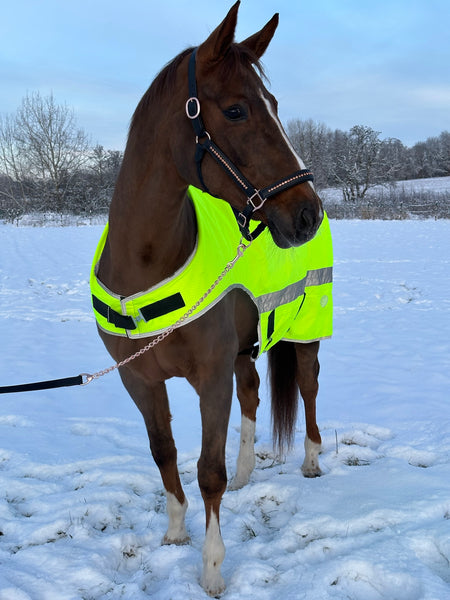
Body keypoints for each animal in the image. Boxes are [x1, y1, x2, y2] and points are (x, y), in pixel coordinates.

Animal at [93, 2, 328, 596]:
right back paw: (248, 474)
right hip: (247, 346)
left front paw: (213, 568)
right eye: (237, 109)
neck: (147, 265)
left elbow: (208, 471)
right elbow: (166, 452)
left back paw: (313, 460)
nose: (307, 214)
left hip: (305, 333)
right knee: (253, 395)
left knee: (309, 388)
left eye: (274, 105)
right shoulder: (140, 380)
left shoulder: (210, 377)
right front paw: (176, 531)